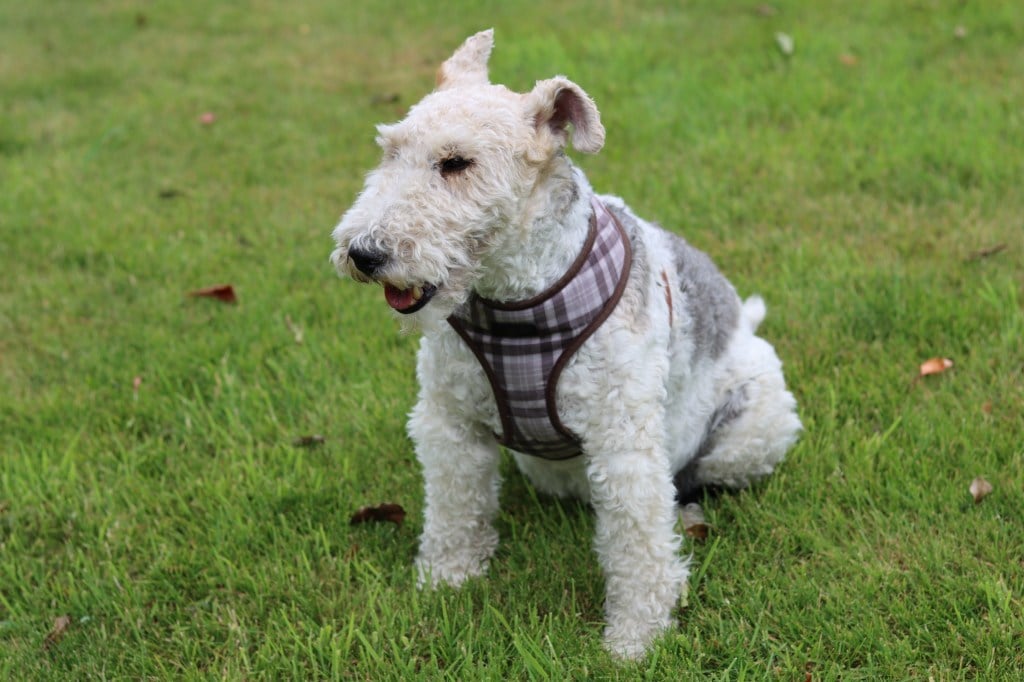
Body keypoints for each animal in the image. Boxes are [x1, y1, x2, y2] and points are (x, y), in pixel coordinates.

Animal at [331, 29, 802, 655]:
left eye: (456, 163)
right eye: (390, 150)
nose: (364, 253)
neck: (517, 303)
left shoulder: (622, 439)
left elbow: (637, 542)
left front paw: (636, 638)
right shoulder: (449, 421)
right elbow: (455, 507)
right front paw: (445, 580)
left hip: (748, 435)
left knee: (691, 482)